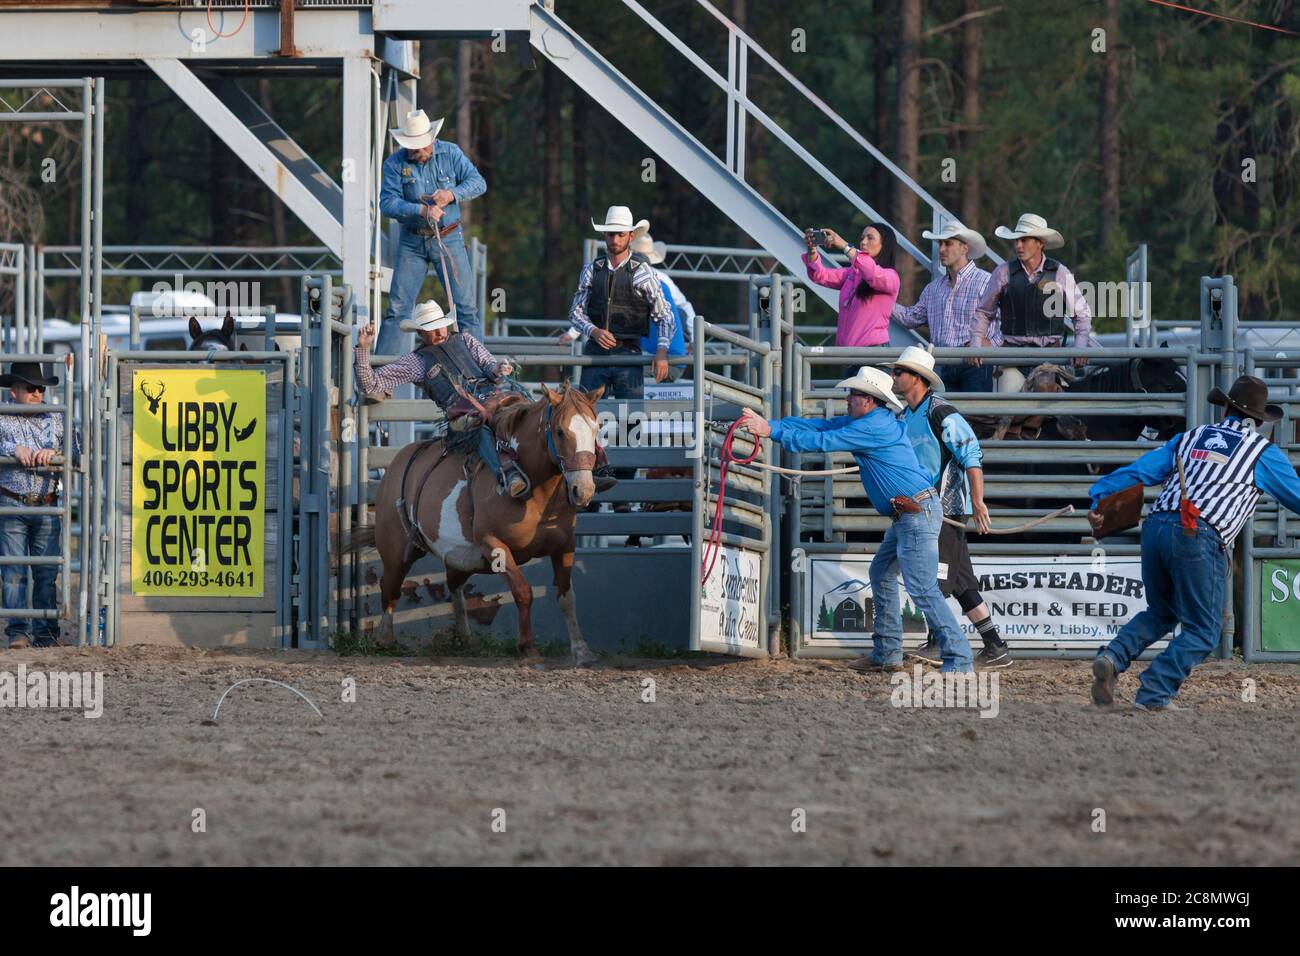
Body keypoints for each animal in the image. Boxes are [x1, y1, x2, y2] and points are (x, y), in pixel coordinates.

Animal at [348, 382, 605, 665]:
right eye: (559, 431)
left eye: (596, 429)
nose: (583, 490)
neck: (537, 490)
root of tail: (397, 463)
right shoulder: (493, 545)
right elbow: (523, 592)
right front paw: (528, 648)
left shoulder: (565, 545)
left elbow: (567, 597)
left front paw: (581, 651)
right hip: (396, 551)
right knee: (390, 588)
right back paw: (385, 638)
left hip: (463, 557)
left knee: (453, 585)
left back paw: (464, 637)